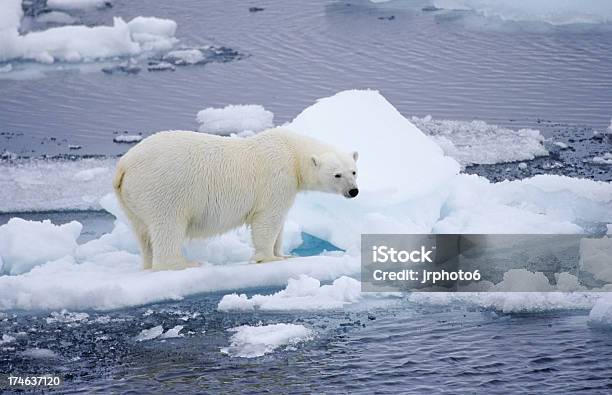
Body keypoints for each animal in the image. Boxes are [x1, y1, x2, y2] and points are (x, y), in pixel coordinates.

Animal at [113, 128, 358, 270]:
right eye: (337, 175)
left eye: (354, 171)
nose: (353, 191)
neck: (292, 152)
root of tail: (124, 165)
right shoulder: (277, 178)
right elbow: (268, 220)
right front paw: (269, 258)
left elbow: (279, 224)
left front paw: (284, 255)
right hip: (163, 188)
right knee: (168, 225)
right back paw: (184, 263)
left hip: (132, 199)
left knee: (142, 231)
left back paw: (148, 263)